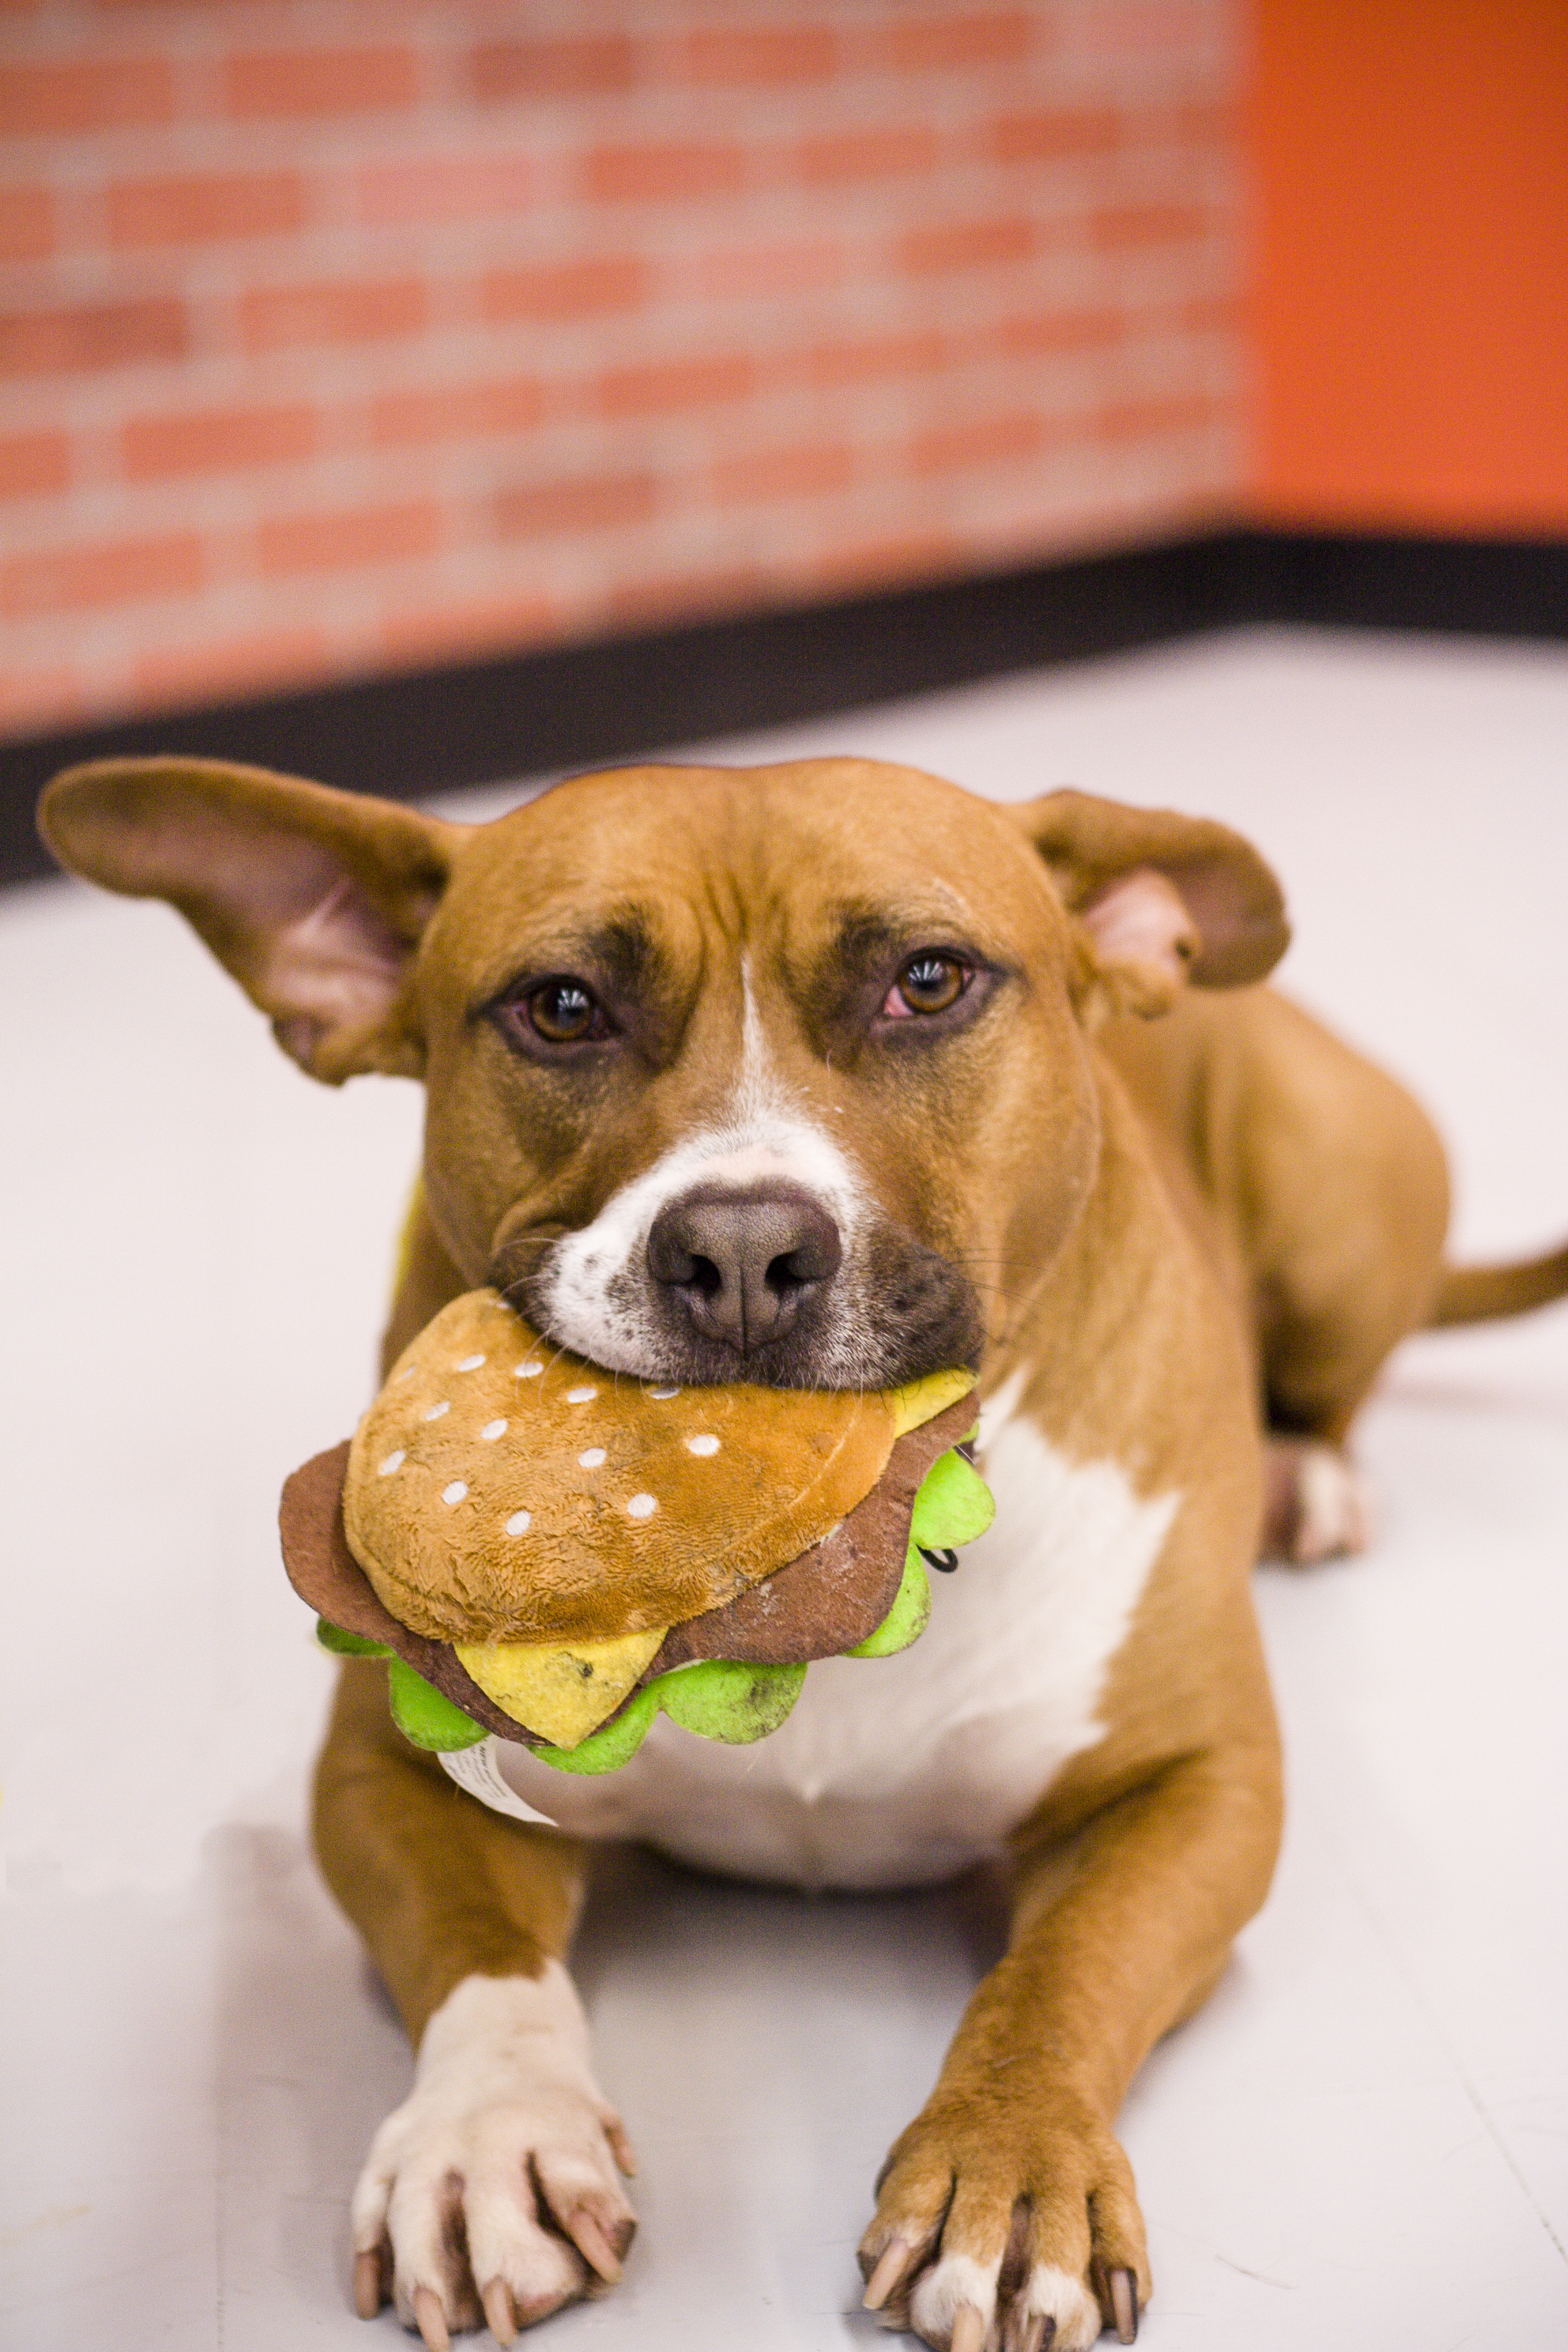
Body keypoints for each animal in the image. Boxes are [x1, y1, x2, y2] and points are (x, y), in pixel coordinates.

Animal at [39, 752, 1568, 2352]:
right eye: (562, 1006)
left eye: (929, 980)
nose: (739, 1251)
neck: (850, 1556)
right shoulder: (384, 1772)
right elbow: (477, 1959)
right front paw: (488, 2135)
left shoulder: (1195, 1786)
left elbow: (1062, 1974)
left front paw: (1009, 2163)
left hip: (1332, 1192)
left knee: (1335, 1377)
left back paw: (1308, 1474)